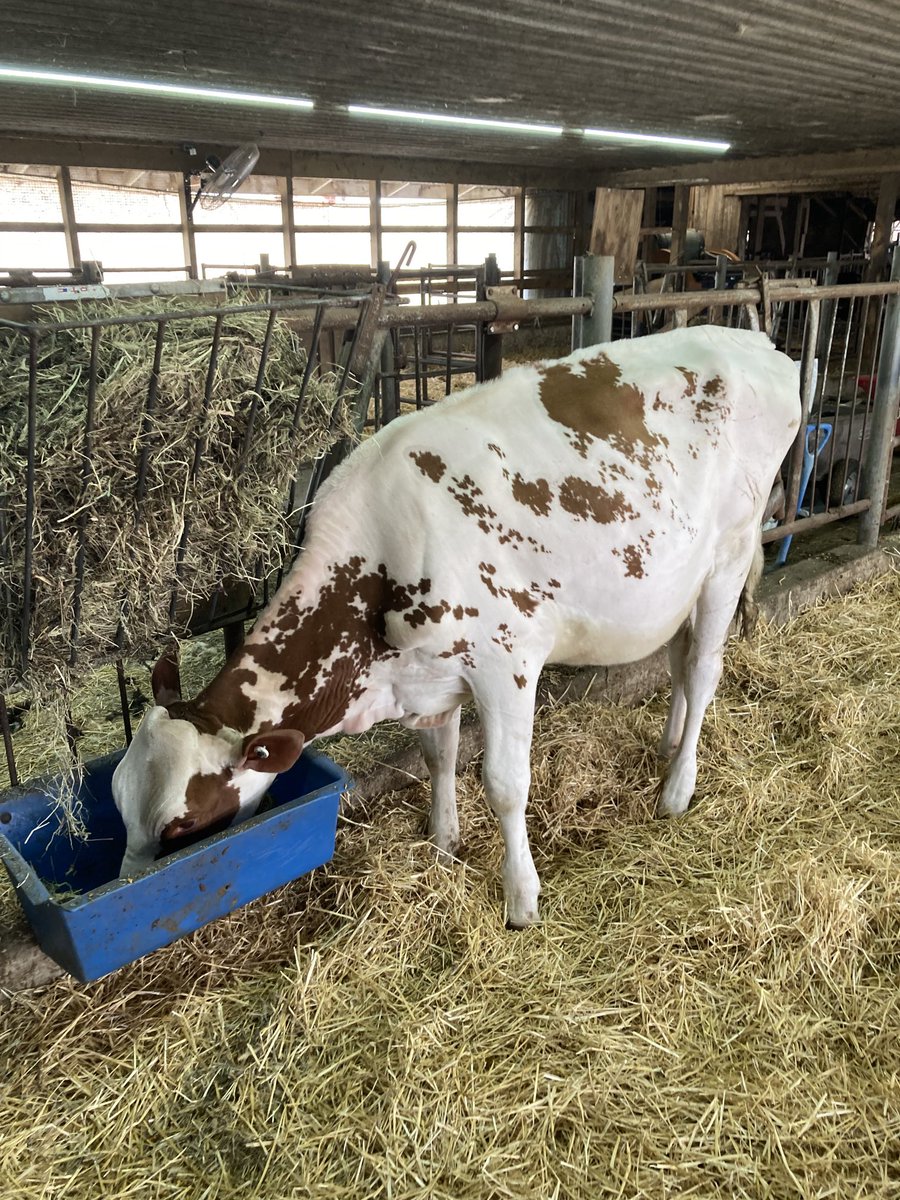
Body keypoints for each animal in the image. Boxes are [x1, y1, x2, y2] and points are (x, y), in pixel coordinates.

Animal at [112, 325, 801, 928]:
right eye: (119, 803)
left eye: (181, 825)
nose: (126, 894)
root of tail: (758, 343)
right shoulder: (431, 673)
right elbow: (437, 756)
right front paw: (444, 842)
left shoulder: (507, 663)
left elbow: (505, 785)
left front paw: (521, 899)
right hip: (682, 583)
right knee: (681, 662)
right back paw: (668, 745)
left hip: (730, 554)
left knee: (705, 669)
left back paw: (677, 788)